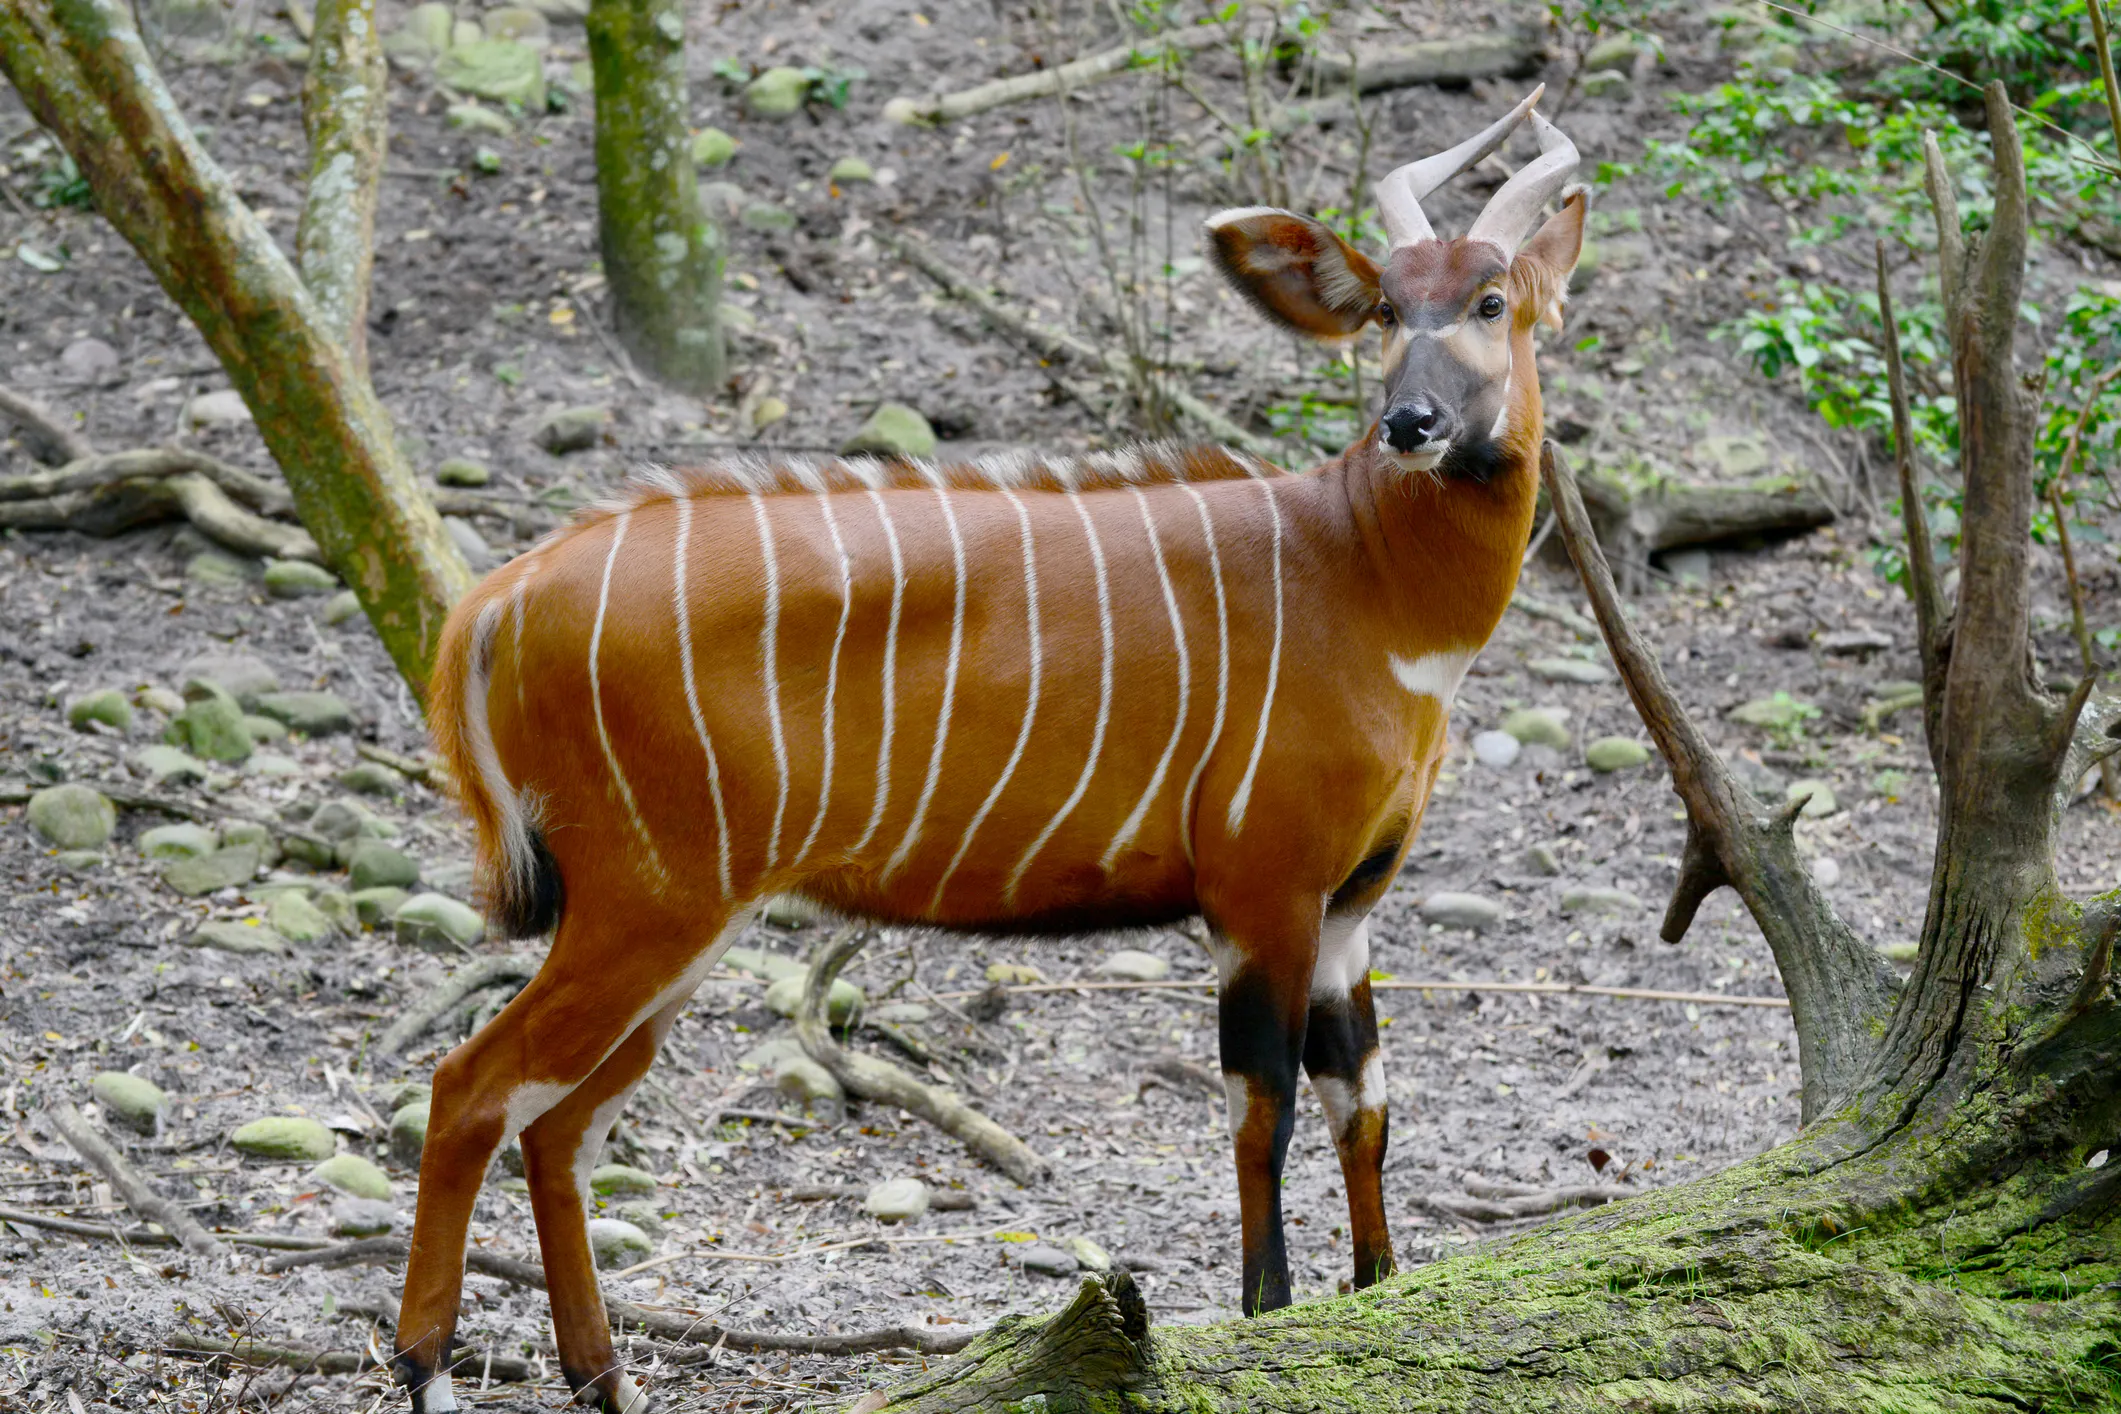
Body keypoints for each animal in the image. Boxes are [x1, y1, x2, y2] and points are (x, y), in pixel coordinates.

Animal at [397, 88, 1583, 1412]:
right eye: (1384, 308)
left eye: (1491, 300)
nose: (1411, 424)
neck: (1363, 576)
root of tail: (496, 596)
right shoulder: (1261, 892)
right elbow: (1262, 1108)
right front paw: (1268, 1319)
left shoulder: (1350, 908)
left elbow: (1362, 1101)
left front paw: (1379, 1303)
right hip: (644, 905)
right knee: (469, 1090)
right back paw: (429, 1373)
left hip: (675, 928)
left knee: (558, 1122)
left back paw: (606, 1379)